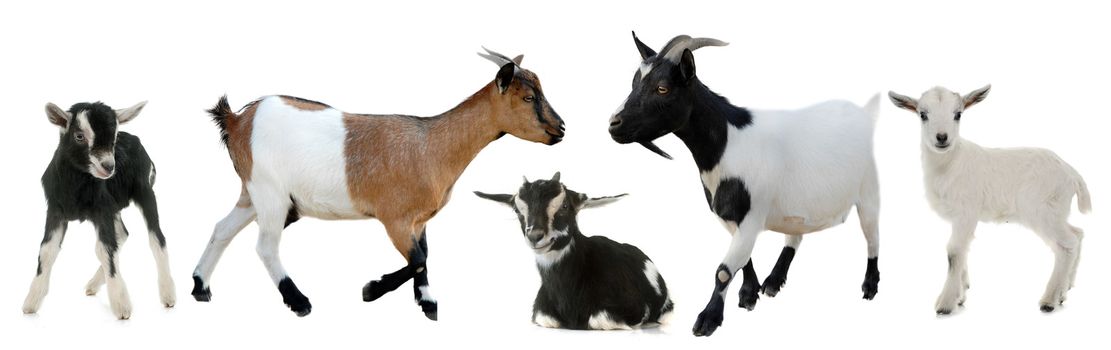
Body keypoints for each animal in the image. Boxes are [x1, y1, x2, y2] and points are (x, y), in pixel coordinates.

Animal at [189, 48, 564, 320]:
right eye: (528, 98)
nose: (561, 129)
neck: (431, 145)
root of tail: (238, 120)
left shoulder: (419, 220)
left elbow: (424, 255)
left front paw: (427, 302)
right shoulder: (394, 219)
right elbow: (417, 259)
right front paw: (372, 290)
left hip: (251, 191)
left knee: (222, 229)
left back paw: (200, 287)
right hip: (271, 193)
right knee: (266, 246)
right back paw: (299, 301)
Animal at [473, 174, 671, 331]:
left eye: (564, 206)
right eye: (517, 209)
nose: (535, 236)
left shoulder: (635, 307)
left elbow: (599, 319)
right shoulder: (541, 314)